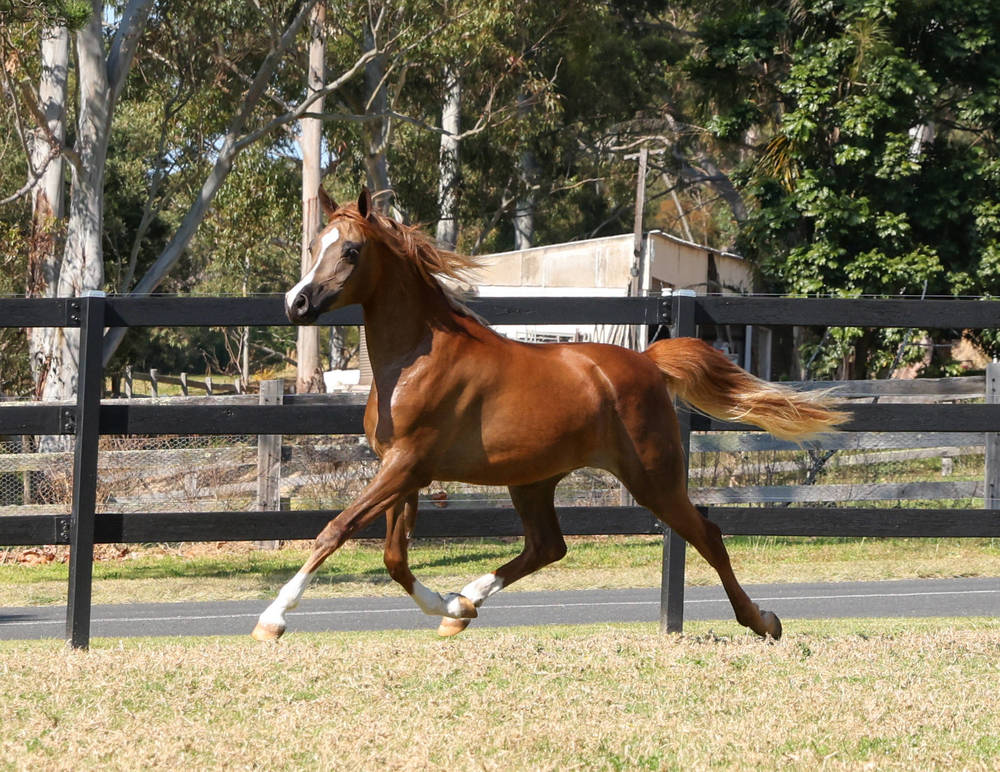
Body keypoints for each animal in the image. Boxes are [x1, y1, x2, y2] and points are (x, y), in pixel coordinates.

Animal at [252, 187, 848, 641]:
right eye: (315, 245)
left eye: (351, 250)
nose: (295, 304)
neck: (417, 357)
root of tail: (649, 361)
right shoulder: (404, 472)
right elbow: (394, 558)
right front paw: (449, 608)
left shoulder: (406, 465)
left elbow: (336, 529)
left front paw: (273, 618)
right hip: (533, 481)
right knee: (548, 546)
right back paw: (466, 603)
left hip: (652, 478)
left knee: (709, 533)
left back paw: (763, 621)